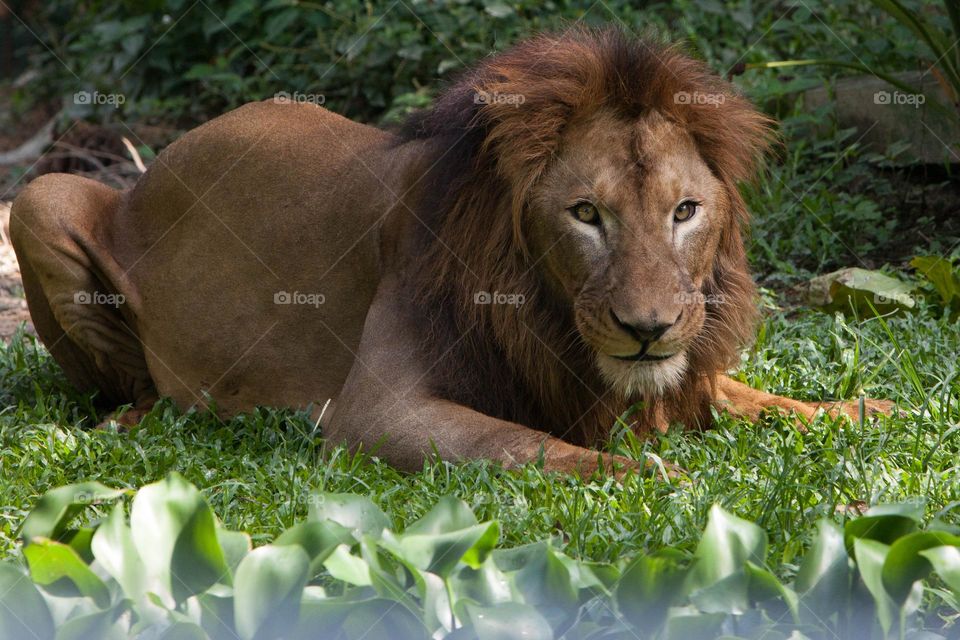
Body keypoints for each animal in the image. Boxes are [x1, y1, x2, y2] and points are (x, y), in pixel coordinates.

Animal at [10, 28, 890, 477]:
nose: (648, 331)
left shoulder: (679, 379)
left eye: (684, 211)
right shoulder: (377, 414)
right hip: (40, 194)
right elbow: (535, 445)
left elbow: (757, 398)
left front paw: (860, 410)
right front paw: (650, 477)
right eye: (586, 215)